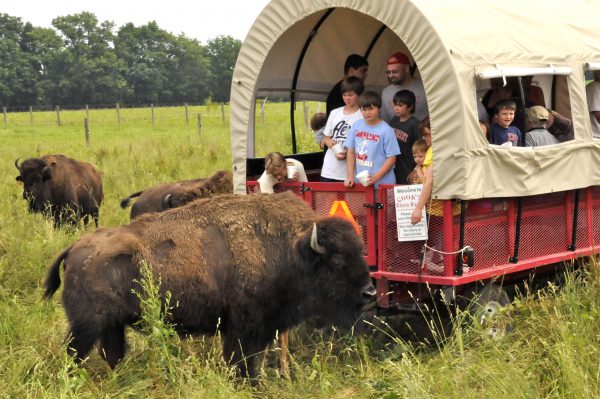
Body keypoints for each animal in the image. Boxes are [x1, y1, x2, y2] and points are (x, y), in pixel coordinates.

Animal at [44, 192, 372, 380]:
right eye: (337, 261)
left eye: (361, 251)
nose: (369, 293)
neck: (289, 248)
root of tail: (75, 248)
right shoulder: (242, 327)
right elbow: (240, 361)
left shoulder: (260, 328)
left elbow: (251, 361)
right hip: (86, 325)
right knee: (74, 354)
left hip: (111, 324)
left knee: (111, 354)